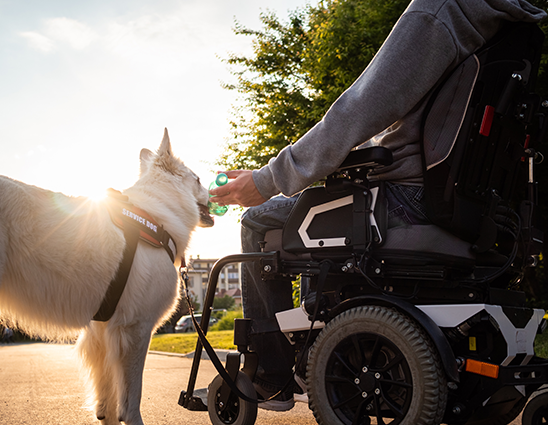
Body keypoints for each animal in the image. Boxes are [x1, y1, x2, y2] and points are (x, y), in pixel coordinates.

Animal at [0, 129, 212, 424]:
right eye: (198, 179)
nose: (214, 192)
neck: (157, 217)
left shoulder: (102, 332)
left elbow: (107, 399)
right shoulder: (136, 329)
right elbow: (132, 398)